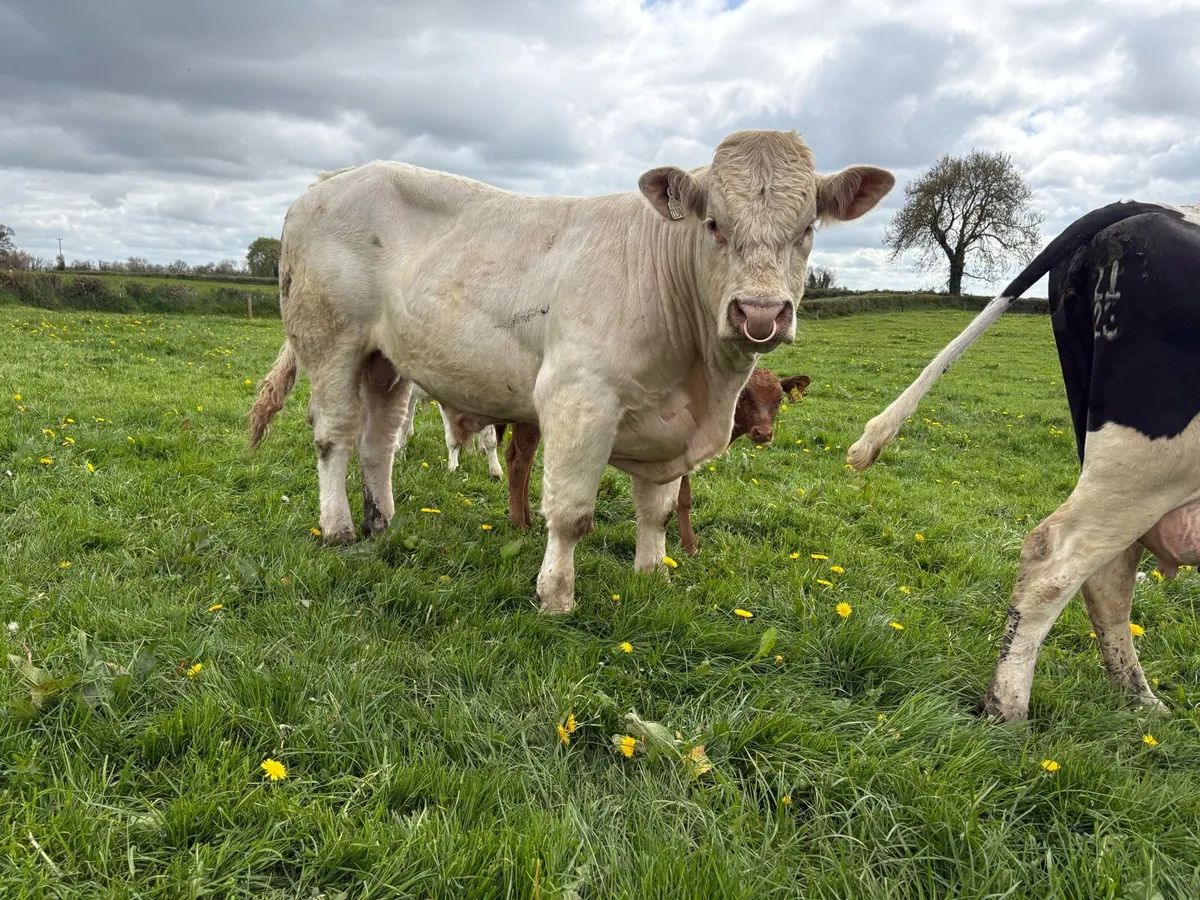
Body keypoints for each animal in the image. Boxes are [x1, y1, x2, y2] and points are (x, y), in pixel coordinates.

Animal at [501, 369, 812, 555]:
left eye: (778, 400)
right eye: (745, 395)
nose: (764, 433)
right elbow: (682, 497)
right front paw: (690, 544)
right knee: (519, 460)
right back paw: (519, 523)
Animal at [847, 200, 1200, 722]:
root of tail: (1149, 207)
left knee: (1106, 574)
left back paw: (1139, 700)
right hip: (1153, 465)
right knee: (1054, 560)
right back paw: (1008, 710)